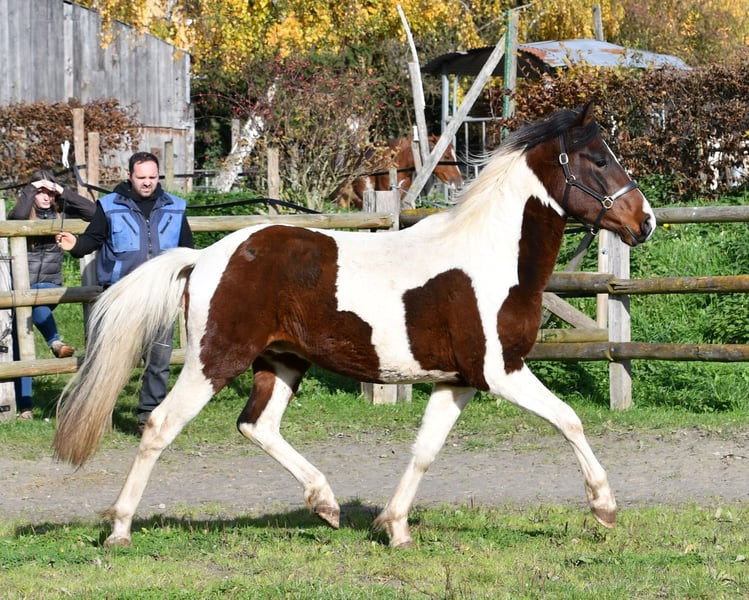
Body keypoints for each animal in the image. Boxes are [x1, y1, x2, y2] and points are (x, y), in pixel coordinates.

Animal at [53, 103, 655, 548]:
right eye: (597, 160)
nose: (644, 221)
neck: (490, 257)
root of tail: (204, 258)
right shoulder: (500, 371)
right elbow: (569, 419)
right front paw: (604, 507)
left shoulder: (457, 381)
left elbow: (425, 450)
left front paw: (395, 527)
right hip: (213, 360)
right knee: (161, 426)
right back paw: (119, 527)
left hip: (283, 361)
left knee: (257, 425)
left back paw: (325, 503)